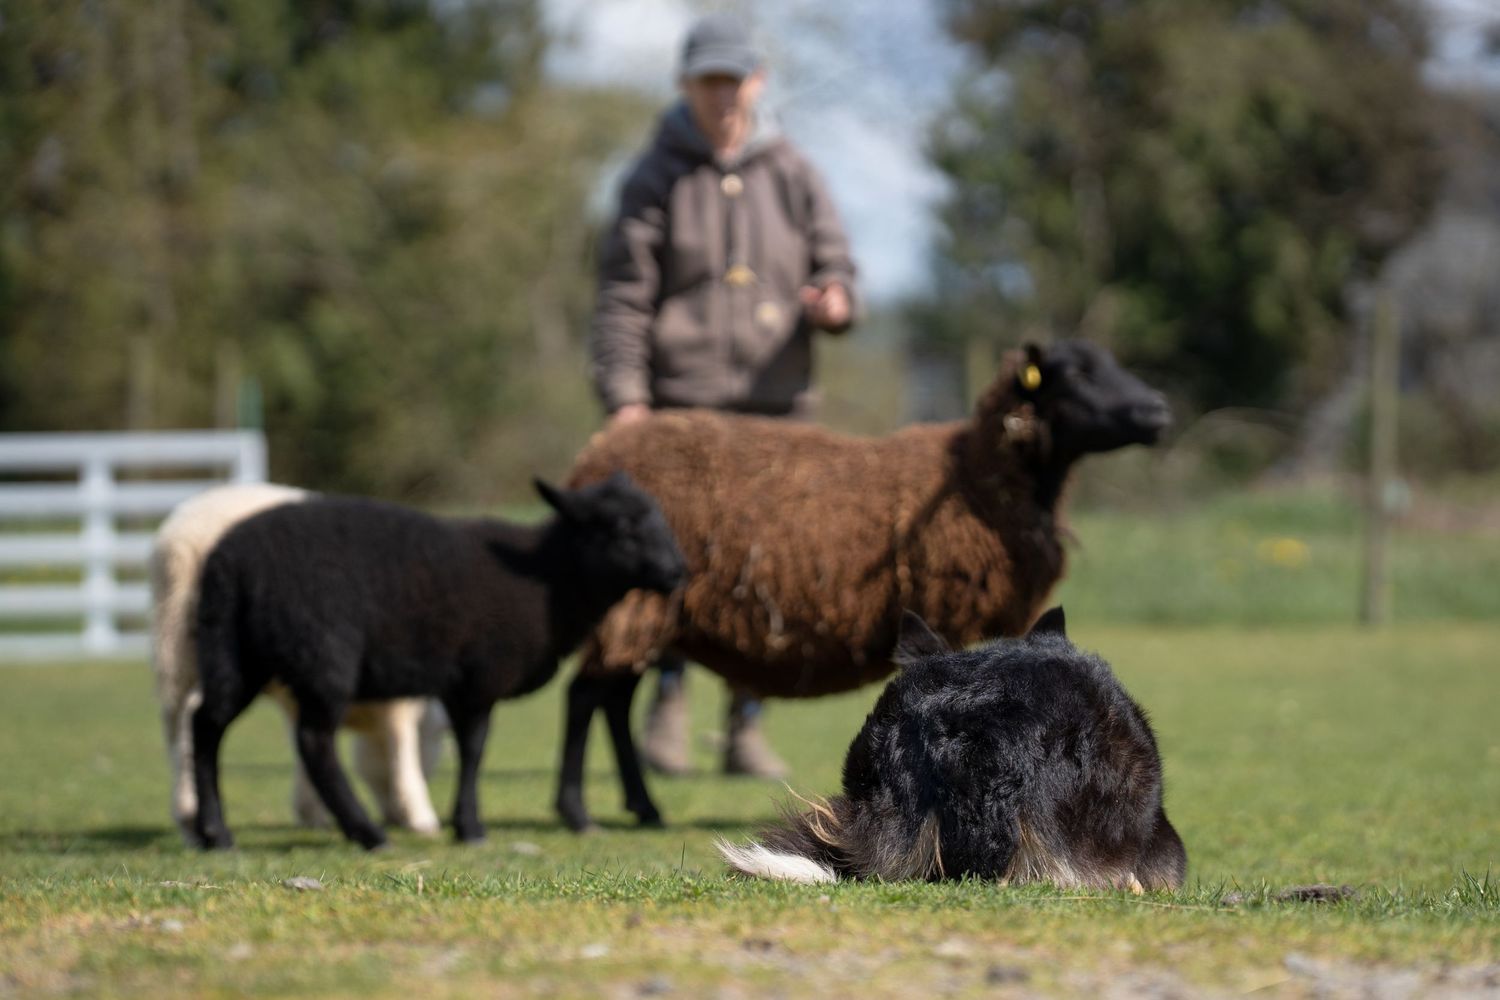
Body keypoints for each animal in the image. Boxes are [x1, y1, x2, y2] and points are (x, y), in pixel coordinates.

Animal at [151, 483, 448, 845]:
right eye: (433, 746)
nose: (392, 818)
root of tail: (183, 539)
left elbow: (305, 744)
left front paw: (312, 813)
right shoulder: (393, 699)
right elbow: (401, 745)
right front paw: (421, 816)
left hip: (178, 648)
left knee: (175, 721)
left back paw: (190, 822)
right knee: (196, 713)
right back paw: (195, 816)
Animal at [189, 474, 687, 850]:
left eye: (661, 519)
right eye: (621, 528)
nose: (678, 571)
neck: (550, 579)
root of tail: (230, 564)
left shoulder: (456, 682)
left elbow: (467, 748)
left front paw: (462, 823)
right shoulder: (482, 675)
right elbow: (475, 749)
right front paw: (470, 827)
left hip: (235, 652)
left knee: (206, 724)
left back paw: (215, 833)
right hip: (322, 654)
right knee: (314, 742)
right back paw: (368, 834)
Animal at [556, 339, 1170, 831]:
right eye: (1079, 371)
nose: (1159, 410)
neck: (980, 478)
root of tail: (591, 458)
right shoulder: (953, 611)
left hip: (642, 606)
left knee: (612, 699)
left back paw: (643, 807)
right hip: (634, 600)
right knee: (586, 695)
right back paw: (578, 812)